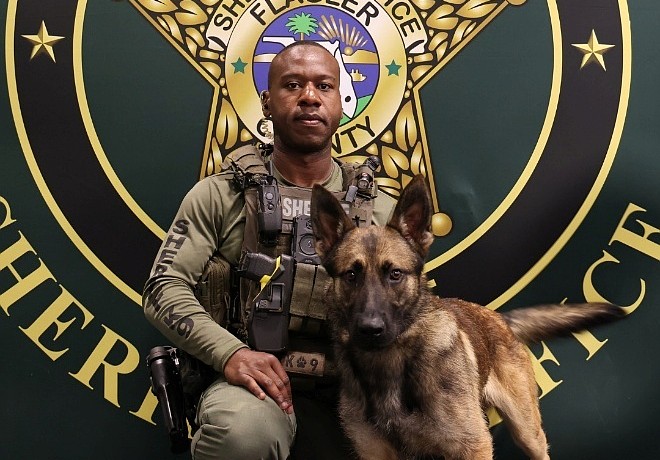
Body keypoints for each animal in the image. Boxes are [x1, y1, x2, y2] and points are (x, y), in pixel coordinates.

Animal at [310, 175, 626, 460]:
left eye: (395, 274)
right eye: (351, 275)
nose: (370, 329)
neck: (388, 362)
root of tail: (498, 318)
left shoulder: (473, 447)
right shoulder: (376, 452)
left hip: (527, 432)